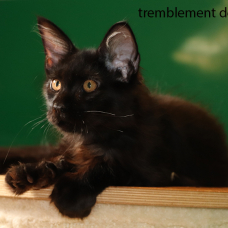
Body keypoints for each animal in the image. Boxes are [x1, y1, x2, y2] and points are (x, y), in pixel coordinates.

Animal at [4, 17, 228, 217]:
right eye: (56, 84)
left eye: (89, 85)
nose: (57, 106)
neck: (96, 136)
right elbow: (63, 160)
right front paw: (30, 172)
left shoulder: (156, 175)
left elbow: (111, 166)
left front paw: (71, 192)